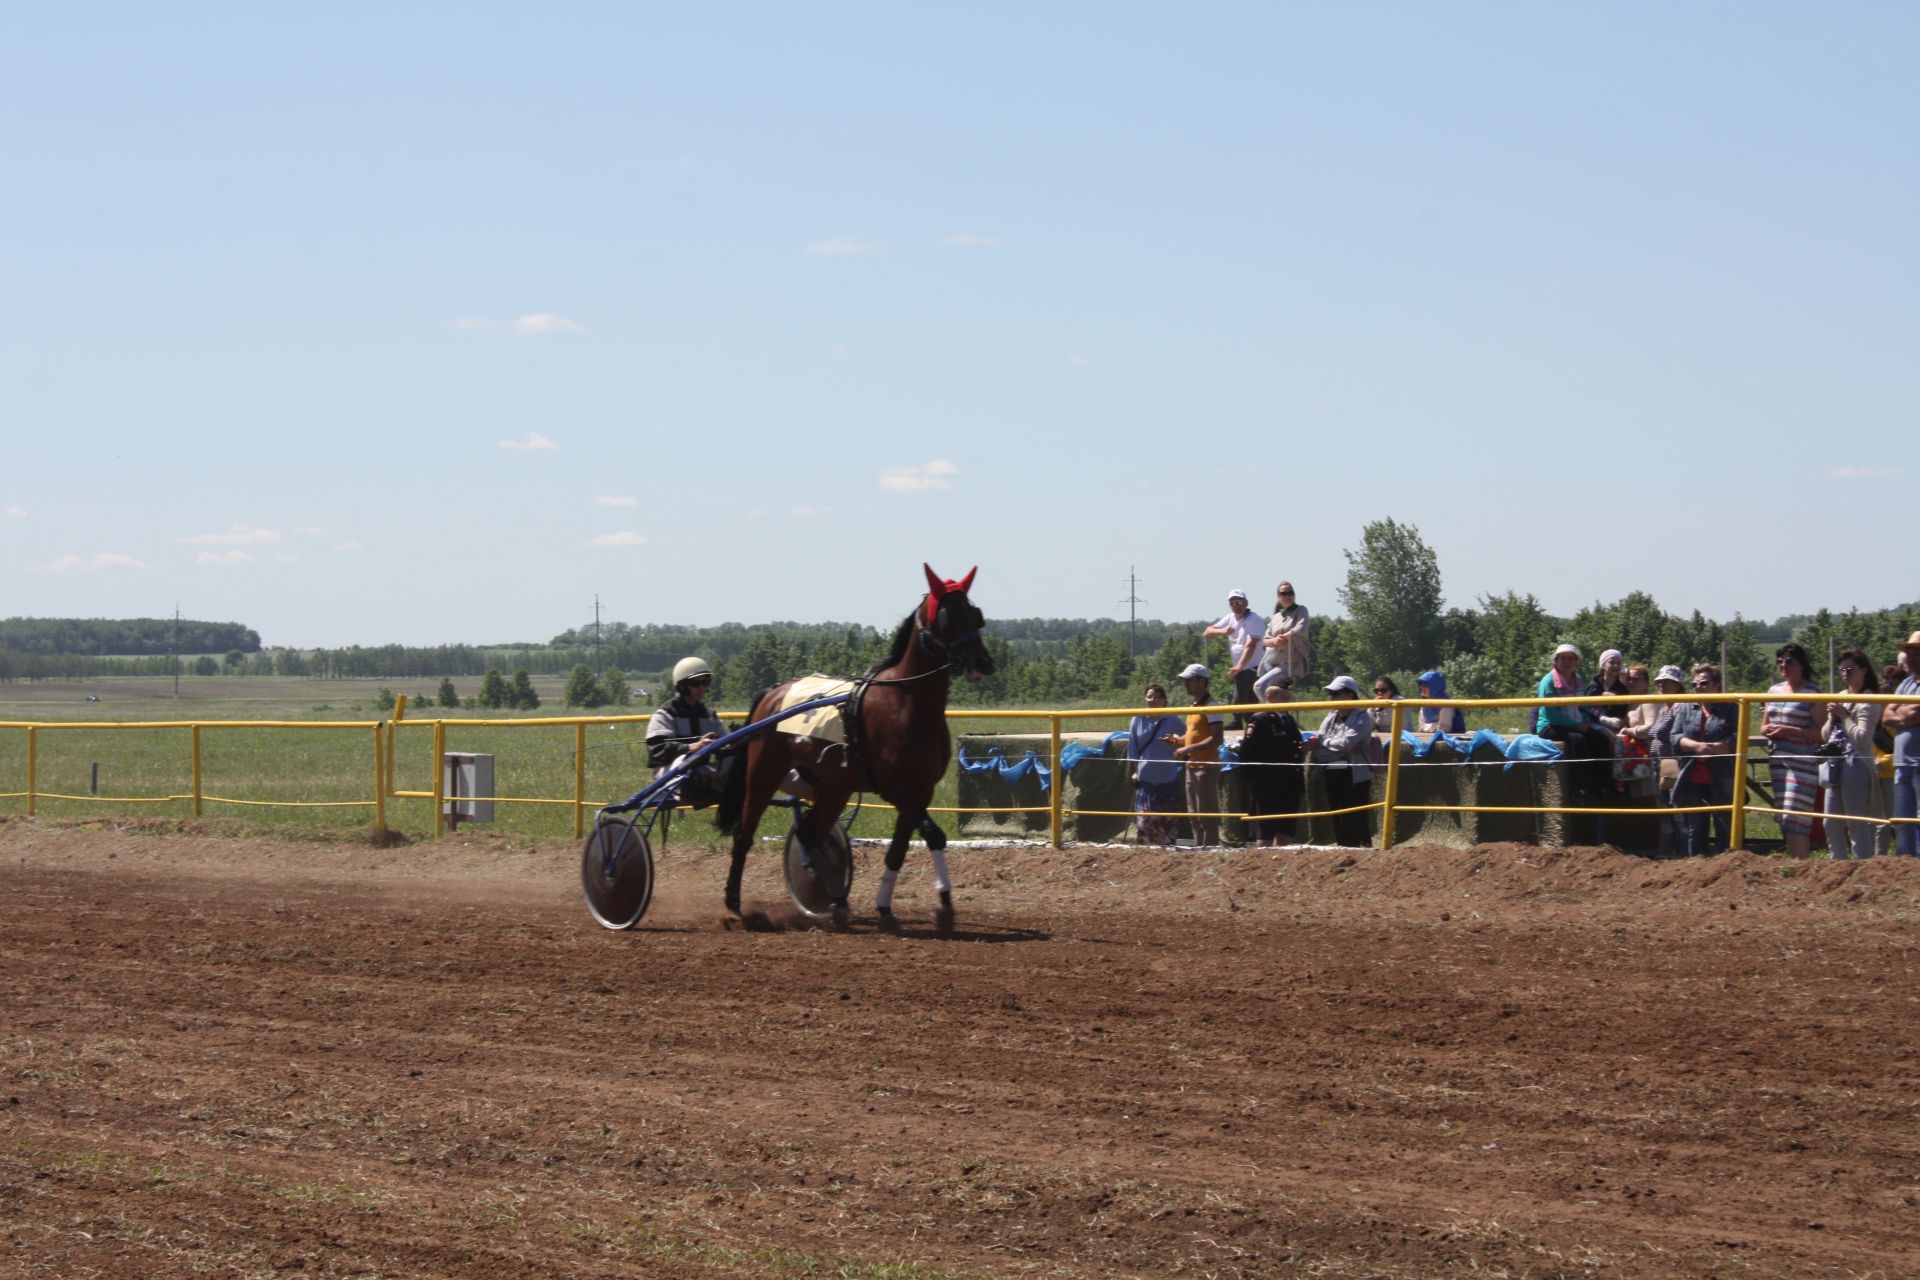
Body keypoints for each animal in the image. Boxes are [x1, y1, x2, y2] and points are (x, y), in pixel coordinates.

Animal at [714, 564, 998, 924]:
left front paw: (888, 906)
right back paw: (735, 901)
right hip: (764, 774)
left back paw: (834, 897)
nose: (983, 661)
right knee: (745, 833)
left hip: (834, 786)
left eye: (976, 615)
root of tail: (774, 692)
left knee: (809, 833)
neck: (905, 703)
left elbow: (898, 850)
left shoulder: (921, 790)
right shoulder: (896, 788)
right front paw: (944, 904)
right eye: (948, 617)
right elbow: (934, 834)